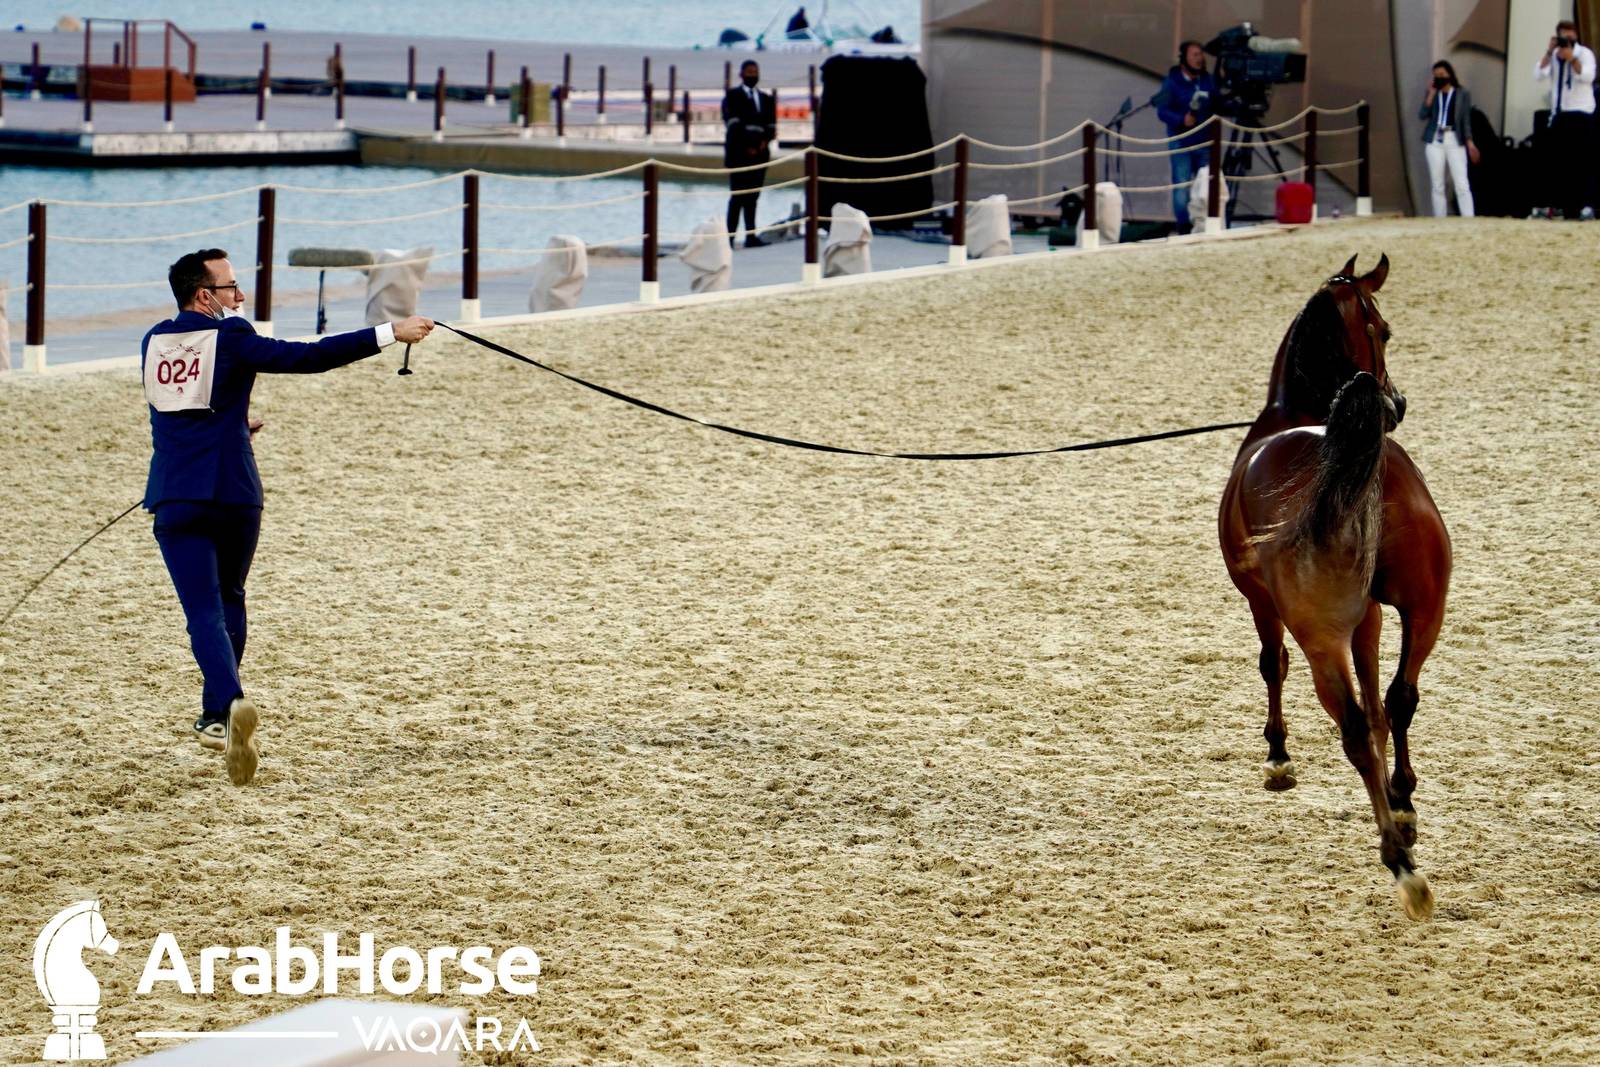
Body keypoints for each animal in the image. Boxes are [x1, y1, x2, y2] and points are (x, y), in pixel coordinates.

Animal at [1217, 254, 1452, 921]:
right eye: (1385, 330)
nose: (1398, 402)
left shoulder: (1263, 604)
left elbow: (1272, 664)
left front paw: (1277, 757)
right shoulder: (1370, 616)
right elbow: (1379, 704)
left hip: (1322, 634)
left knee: (1348, 725)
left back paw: (1401, 863)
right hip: (1427, 608)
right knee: (1400, 698)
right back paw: (1403, 806)